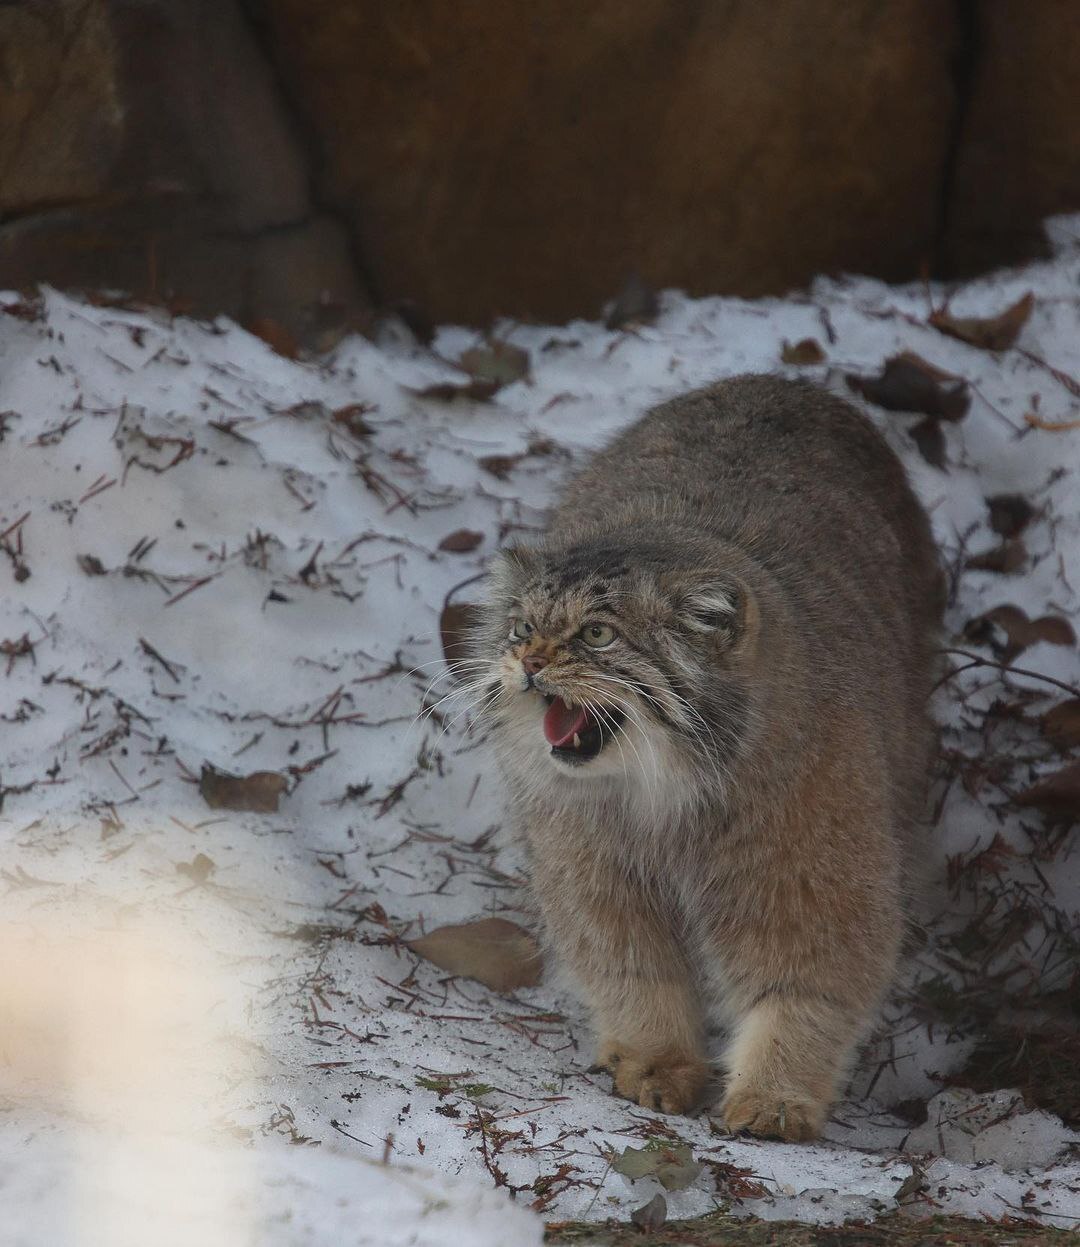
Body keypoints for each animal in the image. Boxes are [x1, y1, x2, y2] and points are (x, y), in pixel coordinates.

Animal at [468, 371, 932, 1142]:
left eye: (597, 634)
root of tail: (784, 381)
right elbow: (635, 973)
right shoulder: (594, 871)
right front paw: (657, 1060)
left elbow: (808, 987)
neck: (664, 799)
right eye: (522, 627)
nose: (526, 662)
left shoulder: (816, 880)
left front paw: (775, 1094)